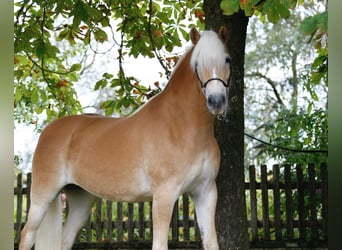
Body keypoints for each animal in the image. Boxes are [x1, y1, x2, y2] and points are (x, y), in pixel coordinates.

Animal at [19, 27, 232, 250]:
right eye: (197, 63)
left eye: (227, 60)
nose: (216, 101)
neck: (181, 127)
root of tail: (48, 130)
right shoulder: (164, 195)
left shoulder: (205, 193)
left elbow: (211, 242)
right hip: (43, 195)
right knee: (27, 235)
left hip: (80, 199)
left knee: (65, 239)